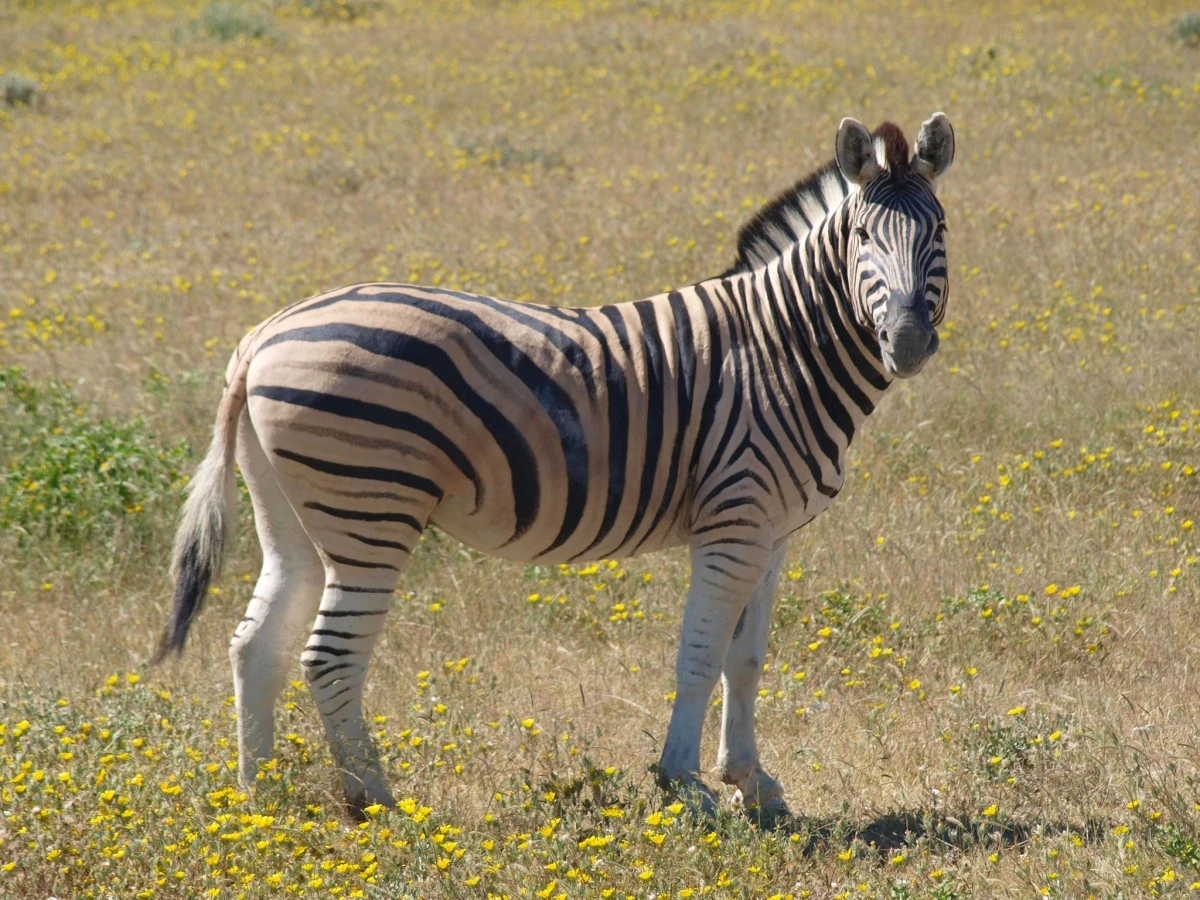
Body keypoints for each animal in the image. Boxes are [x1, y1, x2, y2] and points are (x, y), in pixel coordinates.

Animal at [157, 111, 955, 816]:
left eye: (940, 232)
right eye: (860, 236)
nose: (910, 342)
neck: (781, 349)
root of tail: (263, 336)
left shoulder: (773, 530)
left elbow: (746, 659)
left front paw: (752, 784)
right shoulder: (733, 523)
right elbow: (700, 656)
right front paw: (685, 785)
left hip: (292, 517)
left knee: (256, 646)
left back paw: (262, 801)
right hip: (371, 511)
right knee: (327, 656)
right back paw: (375, 802)